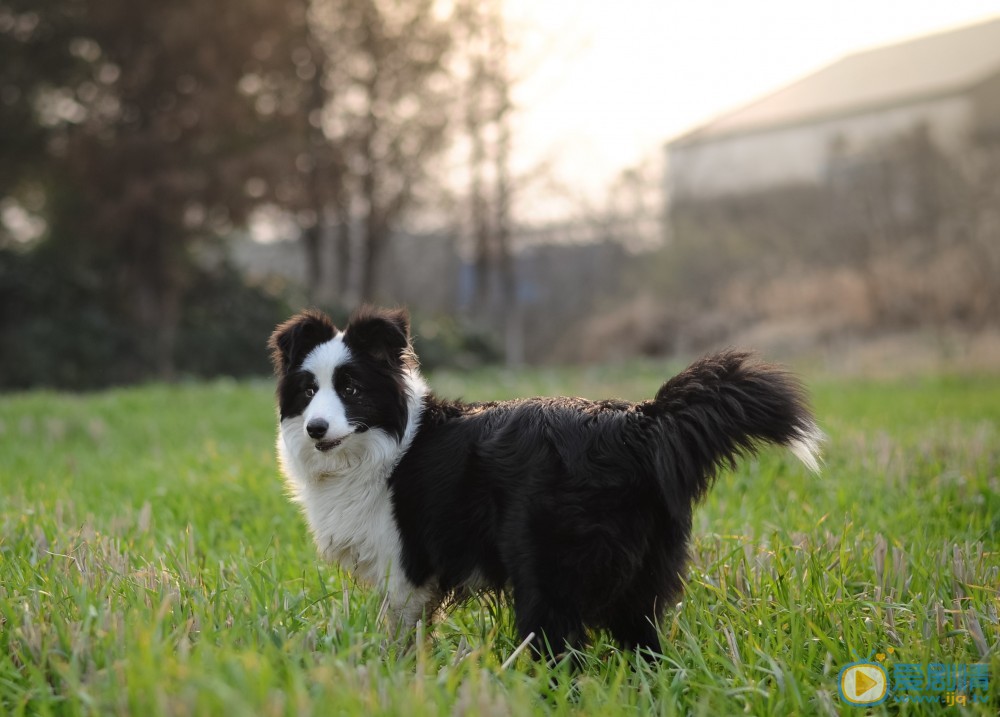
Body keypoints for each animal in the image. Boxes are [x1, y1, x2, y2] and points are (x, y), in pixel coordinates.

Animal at [270, 306, 824, 656]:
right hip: (644, 569)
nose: (316, 429)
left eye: (352, 389)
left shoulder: (405, 567)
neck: (381, 445)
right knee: (644, 643)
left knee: (558, 647)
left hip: (545, 565)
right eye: (308, 390)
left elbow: (401, 634)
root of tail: (637, 423)